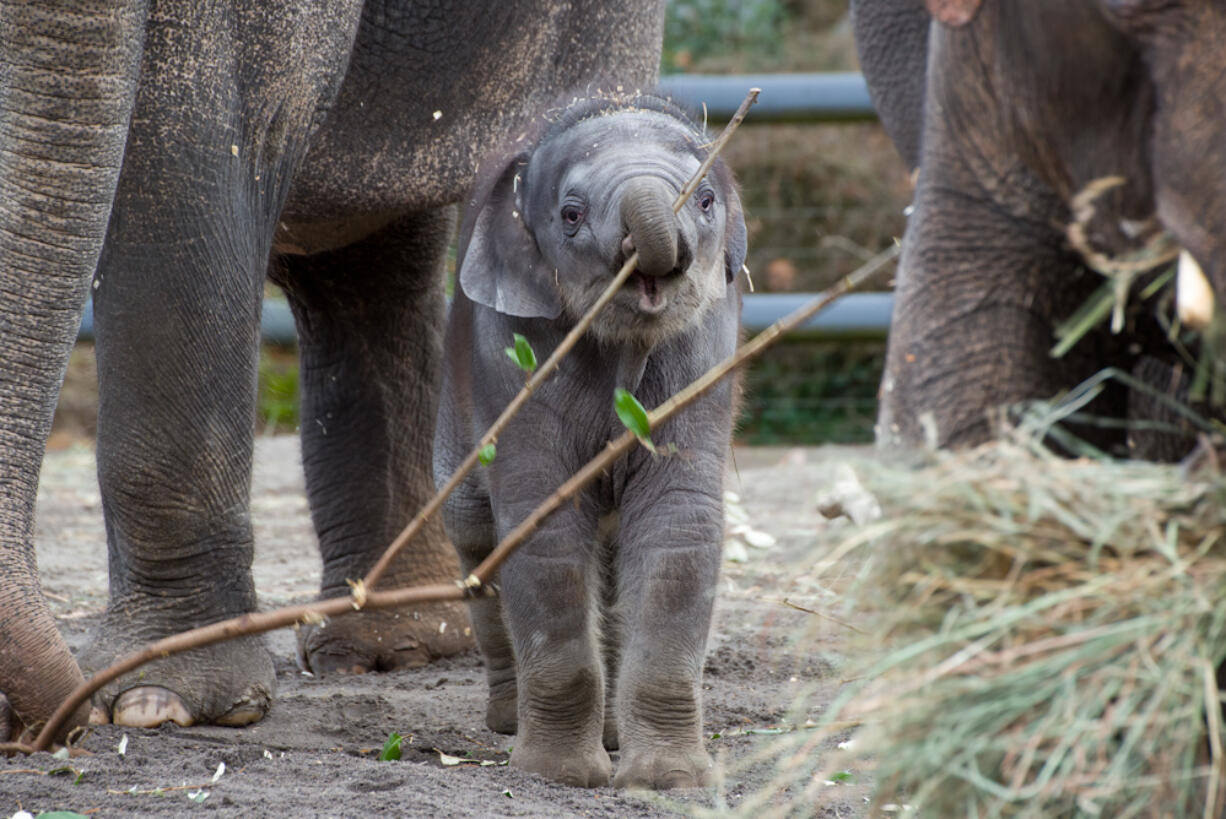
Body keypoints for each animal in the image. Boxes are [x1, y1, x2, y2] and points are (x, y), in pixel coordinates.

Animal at [441, 92, 745, 789]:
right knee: (472, 531)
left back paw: (610, 737)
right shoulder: (512, 354)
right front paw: (559, 777)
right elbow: (542, 530)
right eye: (571, 215)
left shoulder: (705, 356)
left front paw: (669, 782)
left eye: (706, 199)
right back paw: (509, 722)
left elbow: (678, 524)